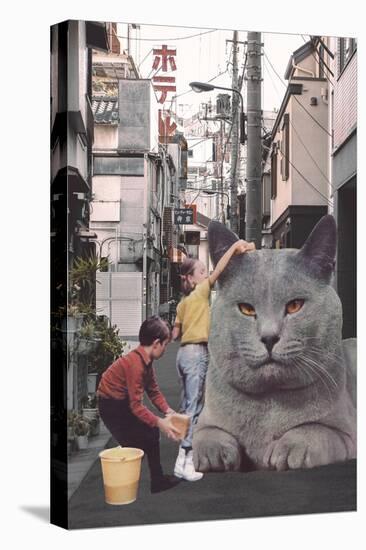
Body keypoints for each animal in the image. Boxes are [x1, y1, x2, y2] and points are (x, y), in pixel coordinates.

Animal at [193, 217, 356, 474]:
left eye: (295, 306)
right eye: (246, 309)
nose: (269, 337)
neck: (268, 405)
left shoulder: (347, 434)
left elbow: (315, 429)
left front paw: (287, 449)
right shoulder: (206, 420)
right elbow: (206, 433)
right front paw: (213, 454)